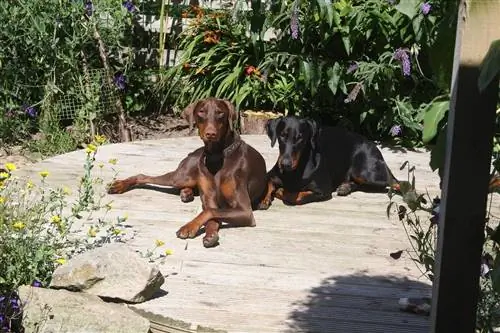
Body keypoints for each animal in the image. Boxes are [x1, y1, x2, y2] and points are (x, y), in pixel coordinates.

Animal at [108, 96, 276, 246]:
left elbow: (209, 213)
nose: (210, 133)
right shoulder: (211, 199)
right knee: (143, 176)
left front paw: (195, 229)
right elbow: (210, 212)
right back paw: (119, 185)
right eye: (201, 112)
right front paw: (204, 231)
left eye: (220, 113)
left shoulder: (245, 210)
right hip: (180, 176)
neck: (216, 157)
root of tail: (194, 152)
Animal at [266, 116, 398, 205]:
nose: (285, 164)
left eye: (300, 138)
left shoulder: (323, 190)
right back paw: (345, 187)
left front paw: (280, 190)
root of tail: (374, 146)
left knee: (392, 182)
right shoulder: (272, 174)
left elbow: (296, 197)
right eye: (282, 135)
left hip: (365, 172)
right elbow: (268, 182)